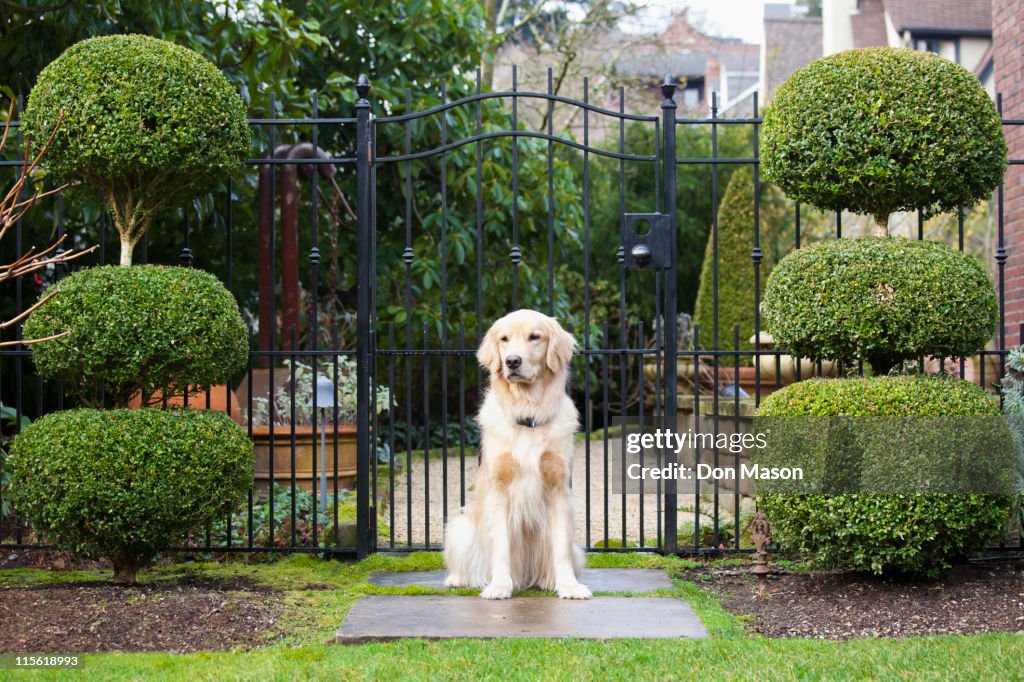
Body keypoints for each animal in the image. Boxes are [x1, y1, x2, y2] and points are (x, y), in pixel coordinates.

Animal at [442, 305, 593, 598]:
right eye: (504, 339)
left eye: (534, 337)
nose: (512, 361)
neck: (528, 414)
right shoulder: (500, 488)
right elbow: (501, 547)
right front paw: (500, 586)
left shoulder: (558, 486)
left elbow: (560, 550)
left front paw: (568, 585)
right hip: (461, 527)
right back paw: (458, 579)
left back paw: (548, 581)